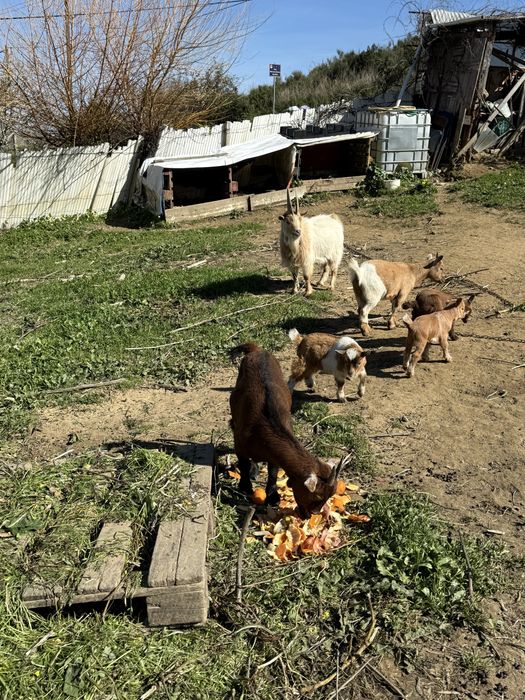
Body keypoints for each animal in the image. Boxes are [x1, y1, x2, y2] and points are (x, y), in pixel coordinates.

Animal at [229, 342, 342, 517]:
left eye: (330, 495)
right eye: (316, 496)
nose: (311, 514)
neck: (263, 428)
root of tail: (257, 349)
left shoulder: (273, 454)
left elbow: (273, 471)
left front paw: (272, 496)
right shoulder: (239, 443)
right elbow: (243, 464)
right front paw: (245, 487)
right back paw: (253, 470)